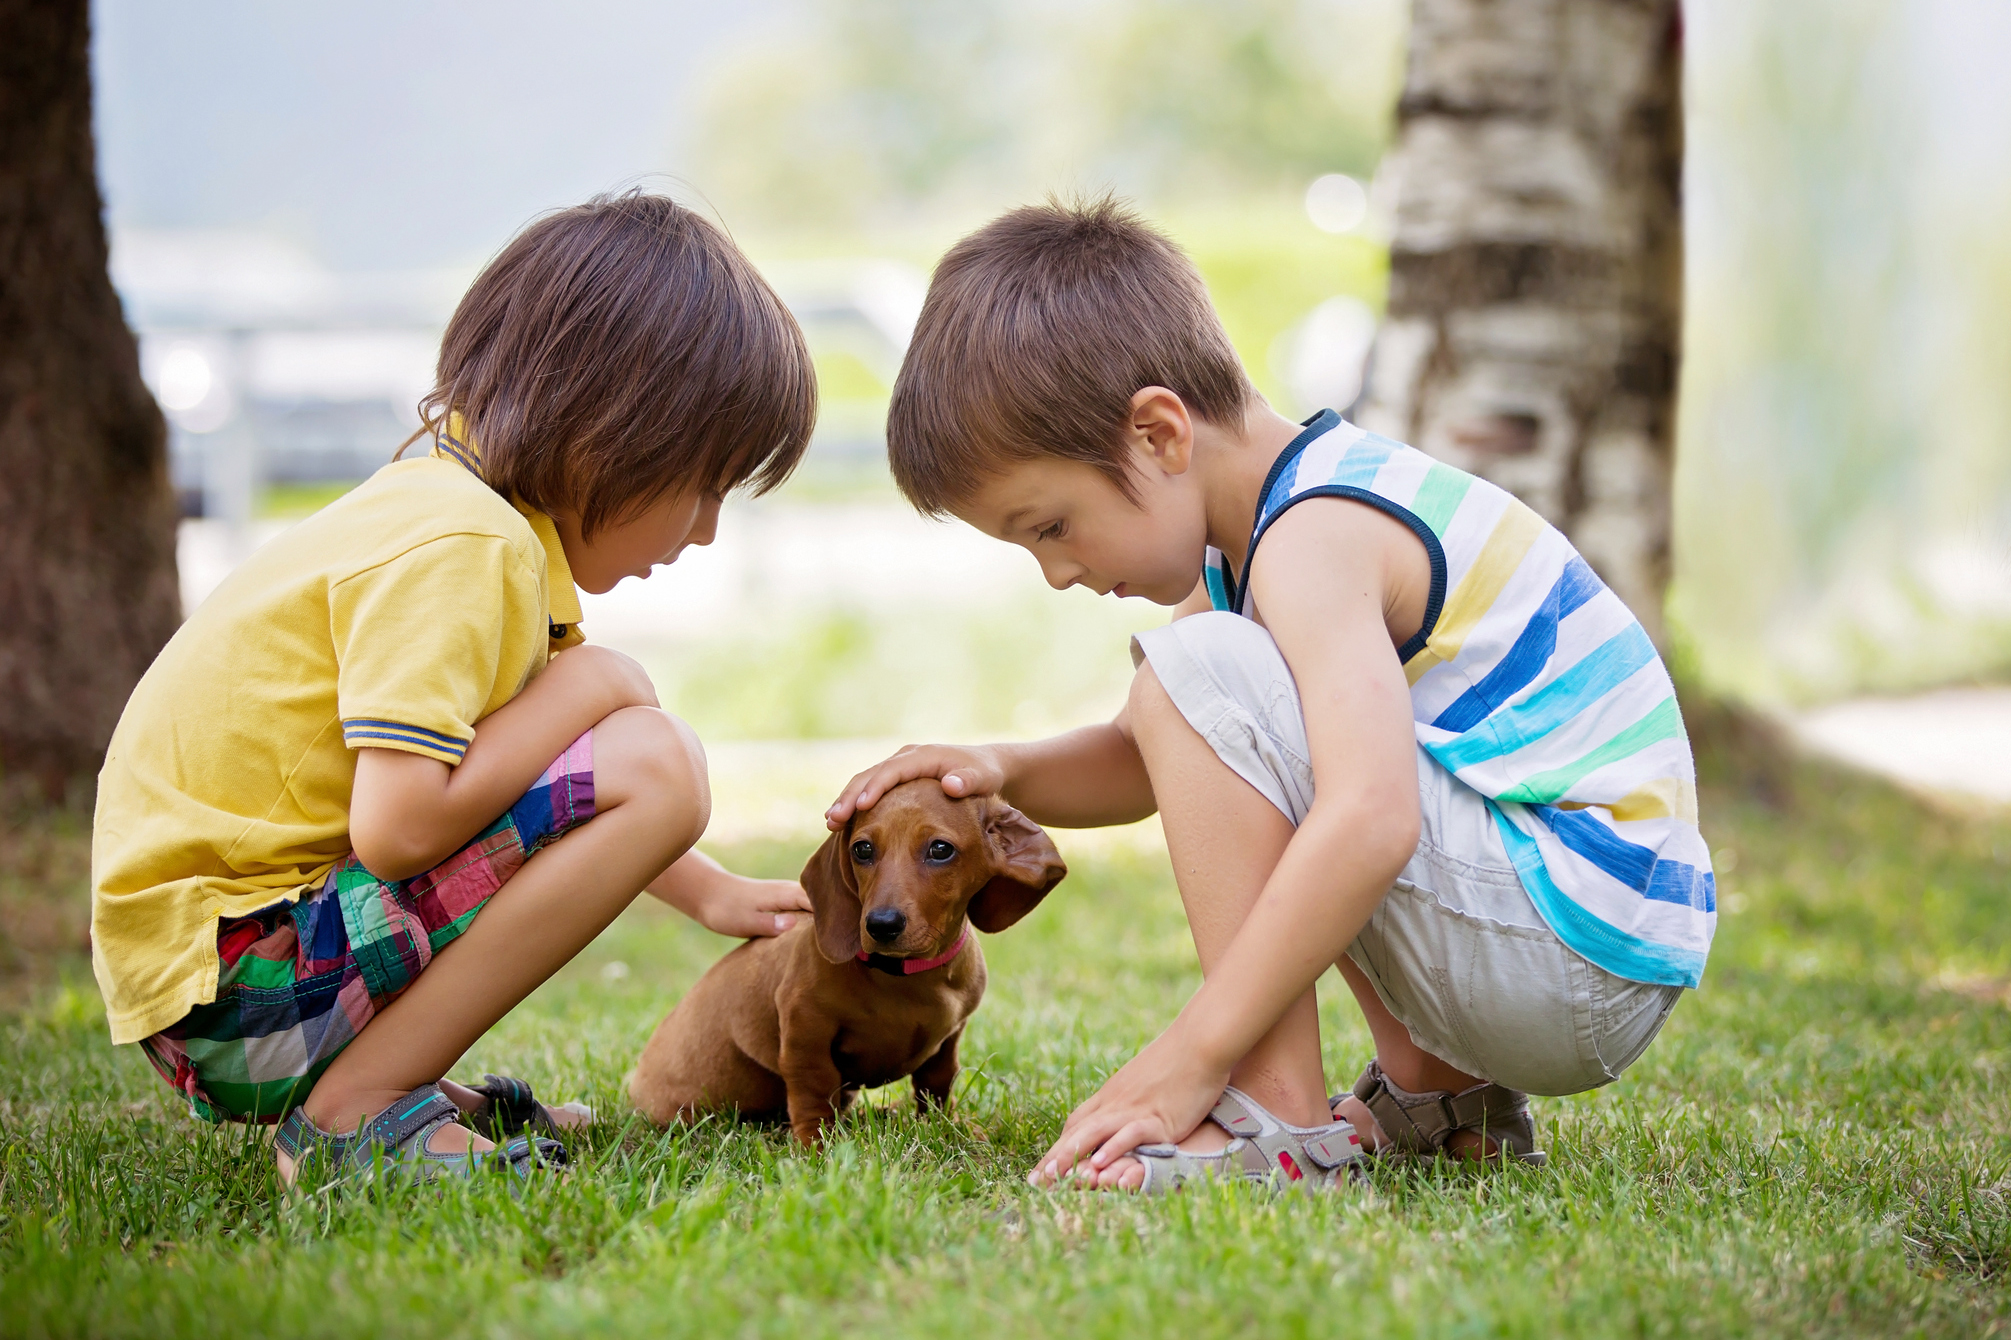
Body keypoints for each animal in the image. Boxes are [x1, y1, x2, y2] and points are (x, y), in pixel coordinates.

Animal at [627, 784, 1069, 1134]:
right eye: (863, 849)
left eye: (941, 850)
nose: (881, 924)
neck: (906, 975)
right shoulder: (805, 1028)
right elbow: (813, 1088)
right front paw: (814, 1145)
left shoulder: (951, 1037)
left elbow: (938, 1083)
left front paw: (946, 1126)